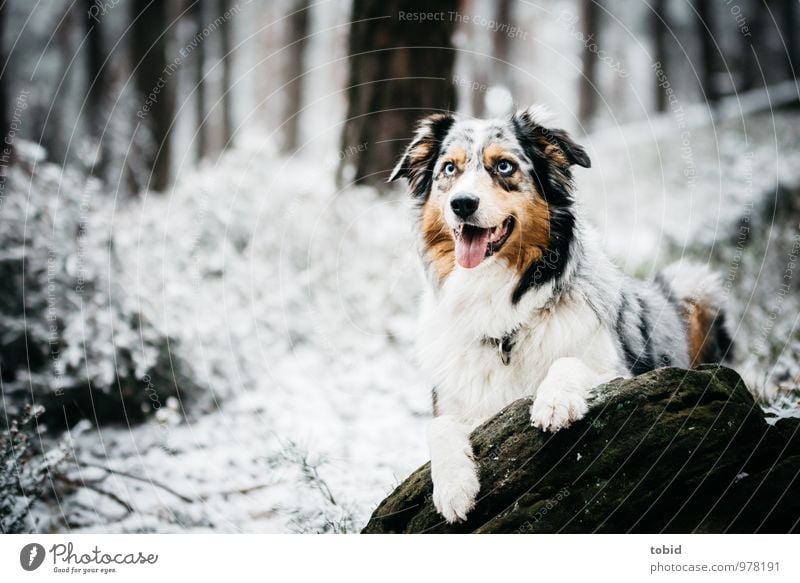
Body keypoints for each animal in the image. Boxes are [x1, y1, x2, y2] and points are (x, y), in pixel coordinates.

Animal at [388, 105, 732, 524]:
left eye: (504, 166)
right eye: (449, 169)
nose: (462, 203)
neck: (500, 309)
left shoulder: (620, 370)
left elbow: (569, 362)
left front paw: (554, 402)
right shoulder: (455, 404)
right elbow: (437, 428)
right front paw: (453, 487)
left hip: (693, 282)